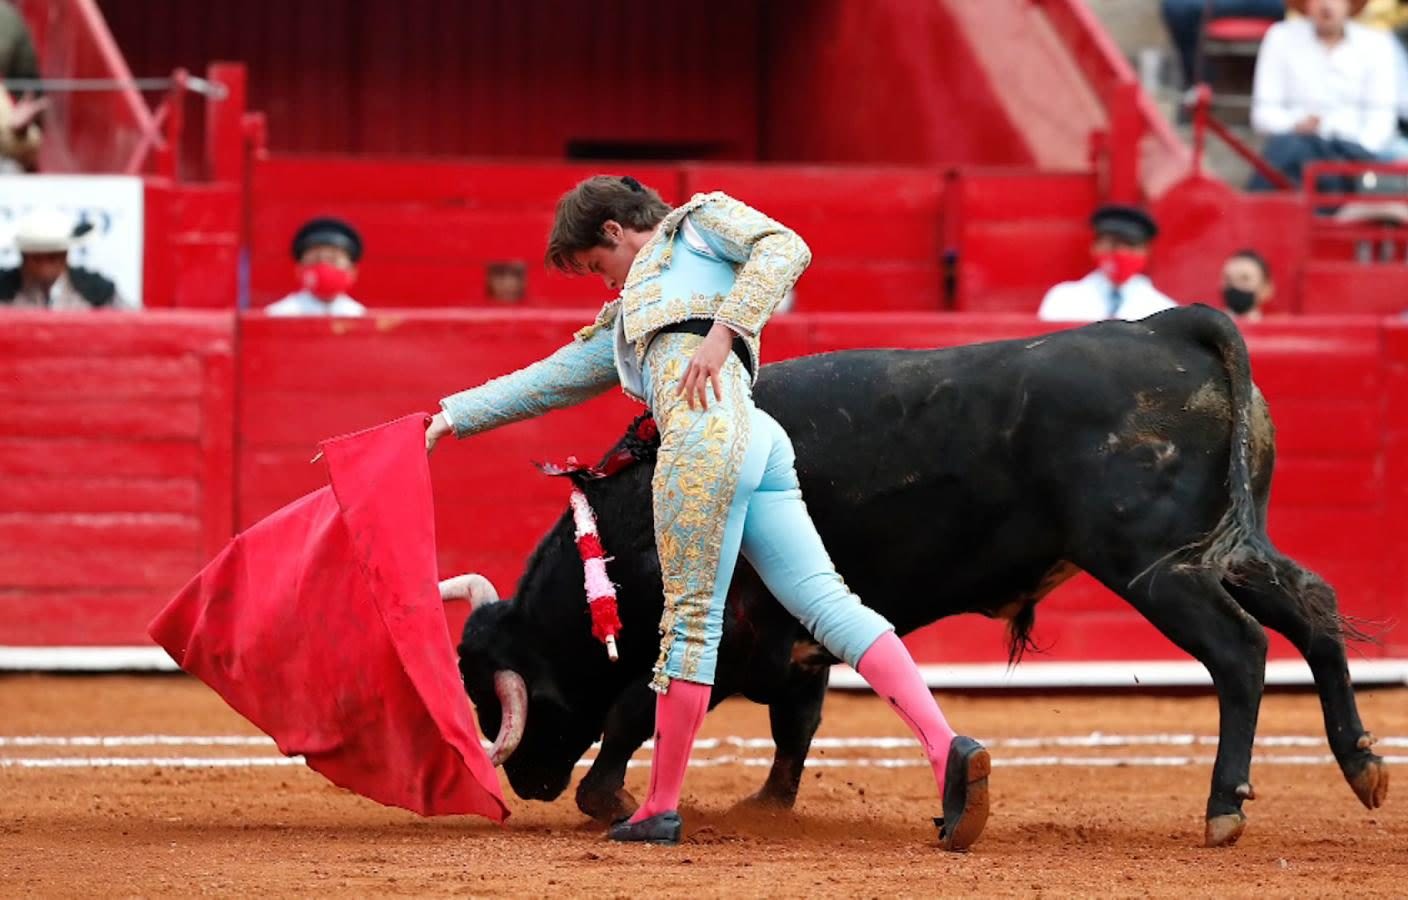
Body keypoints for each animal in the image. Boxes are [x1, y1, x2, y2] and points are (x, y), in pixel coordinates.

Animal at [459, 307, 1385, 850]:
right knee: (1314, 609)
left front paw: (610, 799)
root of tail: (1167, 327)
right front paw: (766, 805)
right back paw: (1361, 763)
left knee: (1240, 652)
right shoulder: (794, 643)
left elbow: (637, 710)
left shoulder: (729, 628)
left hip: (1154, 565)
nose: (524, 782)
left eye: (511, 697)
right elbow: (797, 723)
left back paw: (1225, 806)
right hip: (1222, 546)